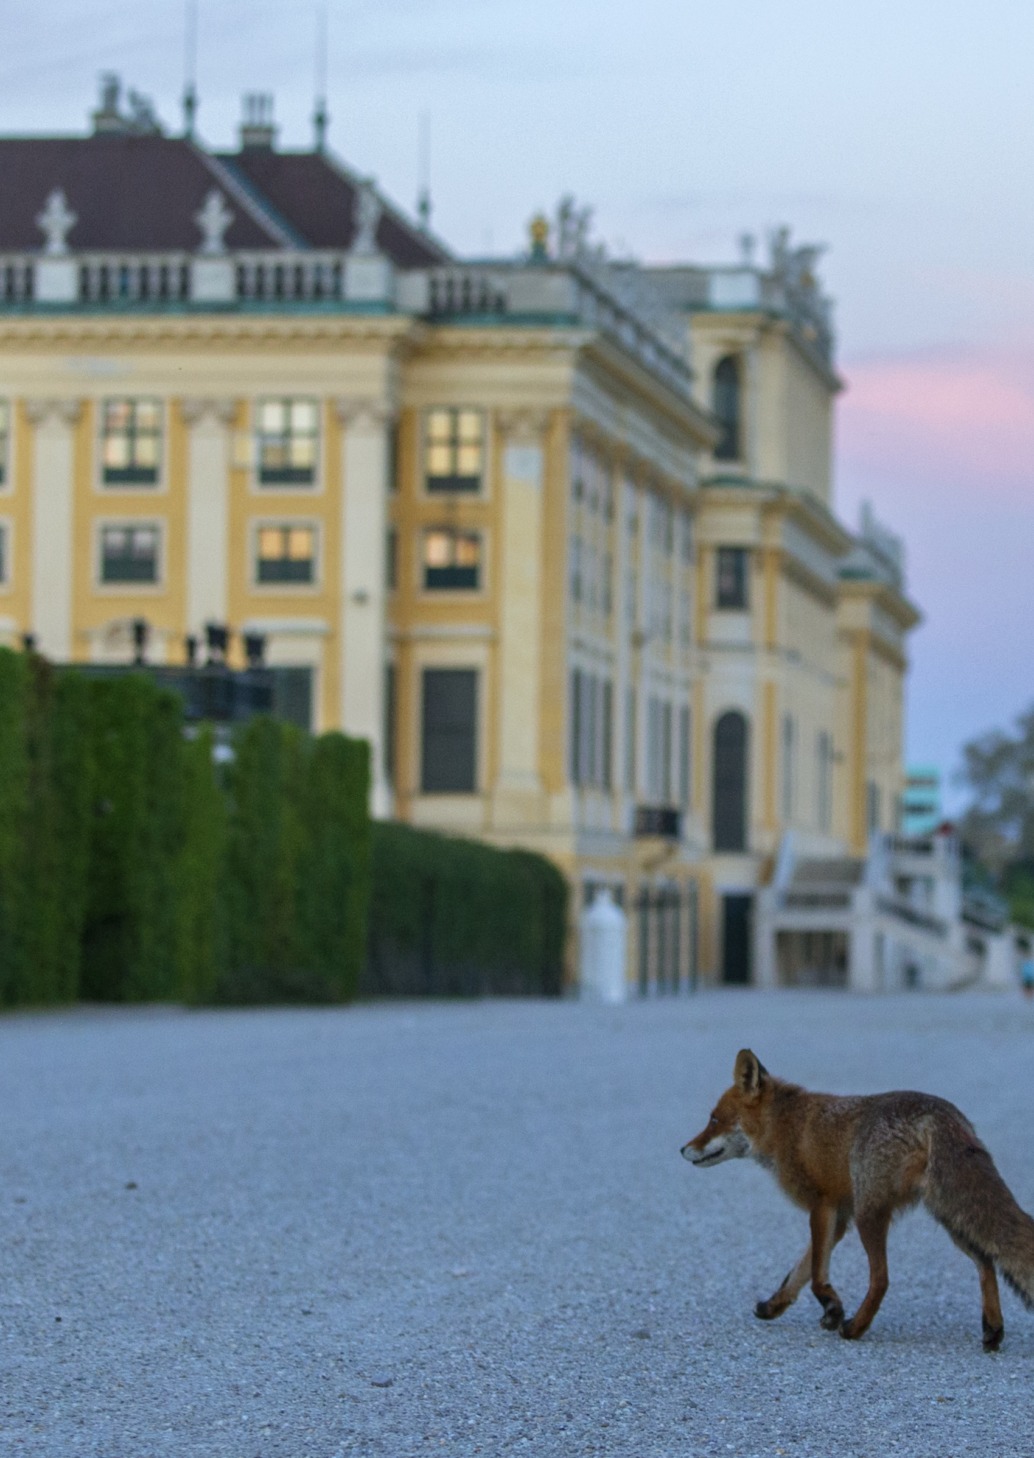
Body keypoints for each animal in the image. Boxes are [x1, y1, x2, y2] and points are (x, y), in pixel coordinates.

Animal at [676, 1049, 1032, 1341]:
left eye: (714, 1120)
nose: (682, 1149)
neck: (786, 1127)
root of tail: (940, 1113)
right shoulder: (839, 1218)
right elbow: (798, 1272)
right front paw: (774, 1306)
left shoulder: (824, 1206)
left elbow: (816, 1275)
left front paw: (833, 1309)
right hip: (950, 1217)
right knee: (986, 1262)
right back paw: (993, 1330)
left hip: (871, 1214)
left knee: (882, 1279)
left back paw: (856, 1328)